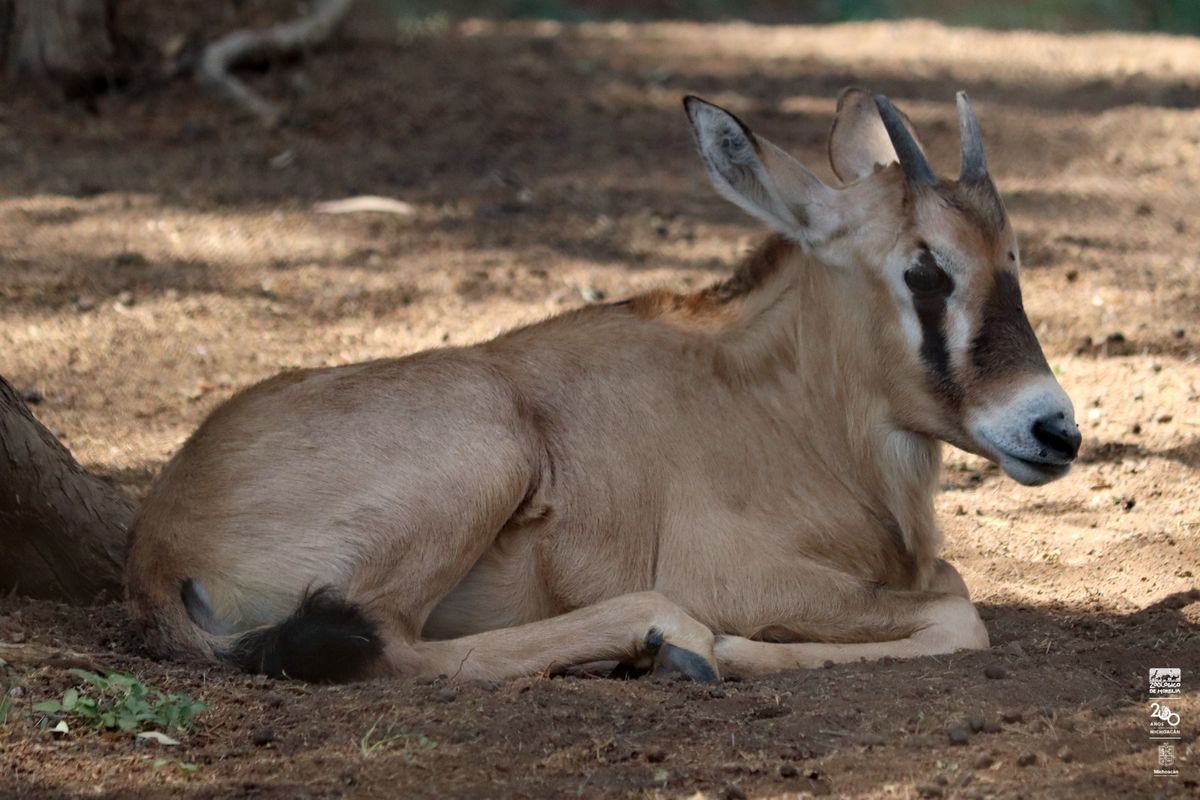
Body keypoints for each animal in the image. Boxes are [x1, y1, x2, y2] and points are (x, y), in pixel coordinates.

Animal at [126, 92, 1084, 681]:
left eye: (1011, 258)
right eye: (925, 269)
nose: (1054, 431)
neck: (786, 406)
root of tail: (157, 544)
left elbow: (952, 587)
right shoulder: (746, 579)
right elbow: (960, 610)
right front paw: (738, 651)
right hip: (485, 450)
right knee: (394, 644)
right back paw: (664, 642)